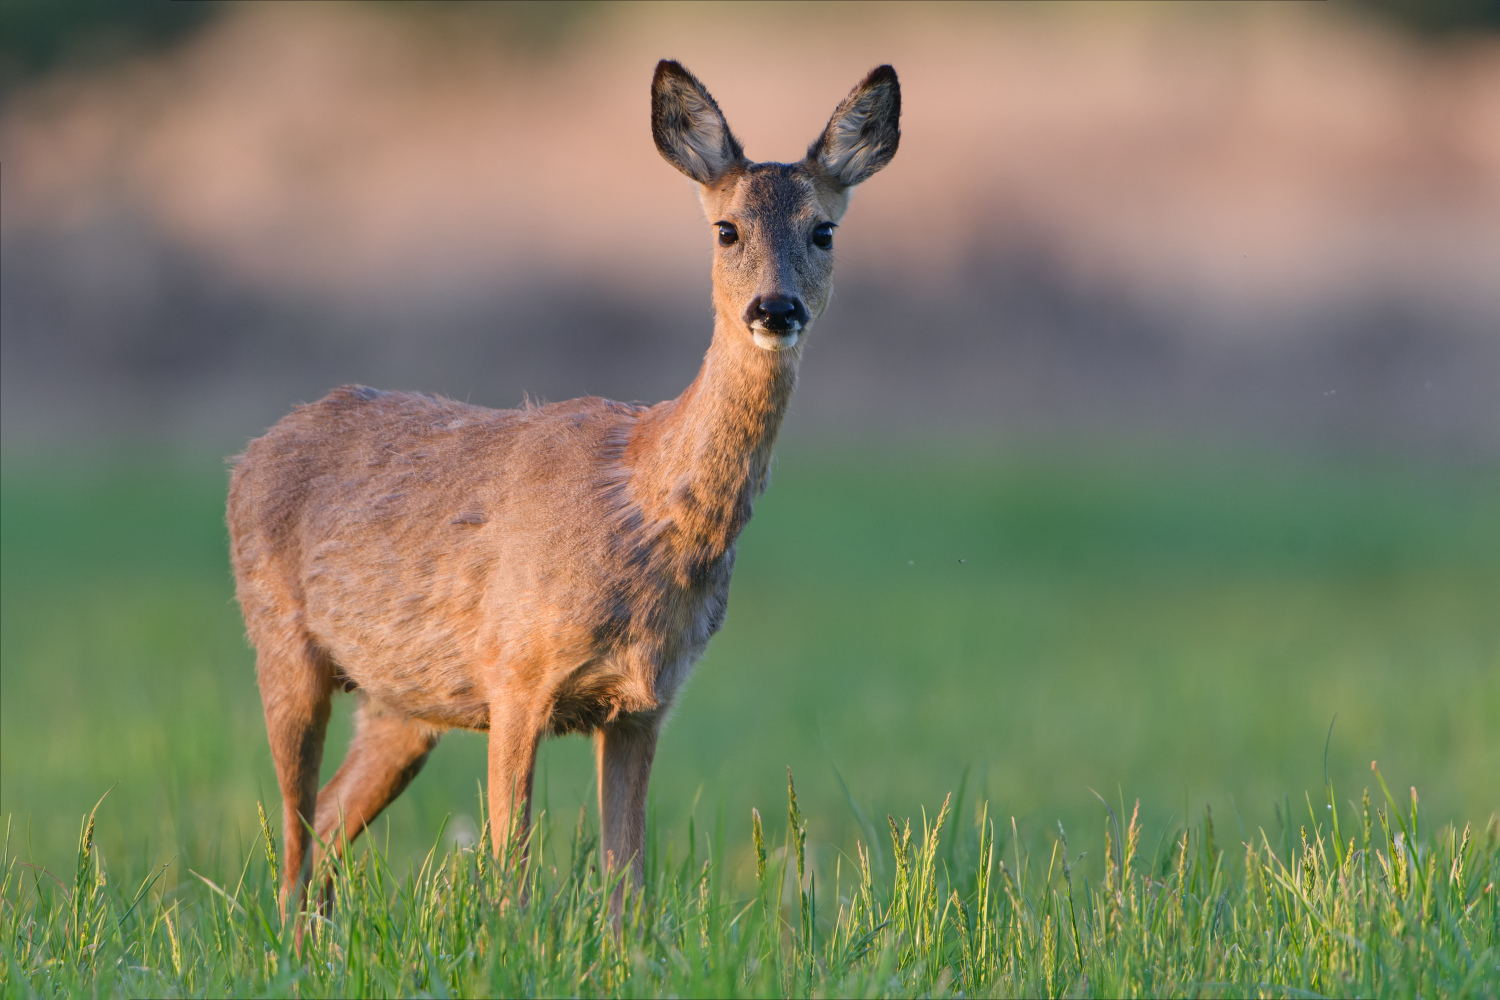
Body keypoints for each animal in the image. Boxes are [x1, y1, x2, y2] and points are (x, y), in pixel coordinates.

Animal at [228, 60, 894, 923]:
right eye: (726, 230)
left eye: (824, 230)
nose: (775, 308)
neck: (642, 500)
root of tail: (250, 453)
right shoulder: (513, 670)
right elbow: (510, 867)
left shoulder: (644, 702)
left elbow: (627, 882)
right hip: (281, 641)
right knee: (294, 836)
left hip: (401, 703)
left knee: (328, 826)